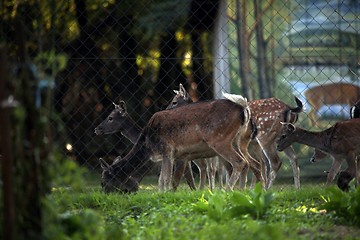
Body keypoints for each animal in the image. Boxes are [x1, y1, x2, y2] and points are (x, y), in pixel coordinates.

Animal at [97, 96, 264, 192]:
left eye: (104, 181)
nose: (105, 193)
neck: (147, 144)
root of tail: (244, 108)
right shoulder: (178, 155)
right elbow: (165, 180)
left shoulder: (168, 150)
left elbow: (166, 180)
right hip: (241, 142)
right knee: (254, 163)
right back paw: (257, 191)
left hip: (220, 140)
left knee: (240, 162)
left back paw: (228, 191)